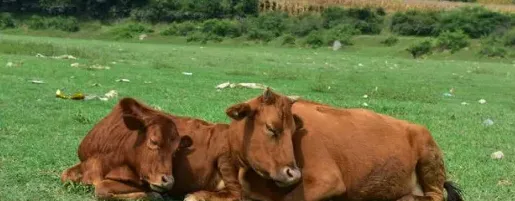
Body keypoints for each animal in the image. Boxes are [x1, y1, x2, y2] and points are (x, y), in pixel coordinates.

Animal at [61, 97, 194, 199]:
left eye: (175, 152)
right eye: (153, 141)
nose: (168, 182)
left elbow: (102, 188)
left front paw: (151, 195)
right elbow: (64, 175)